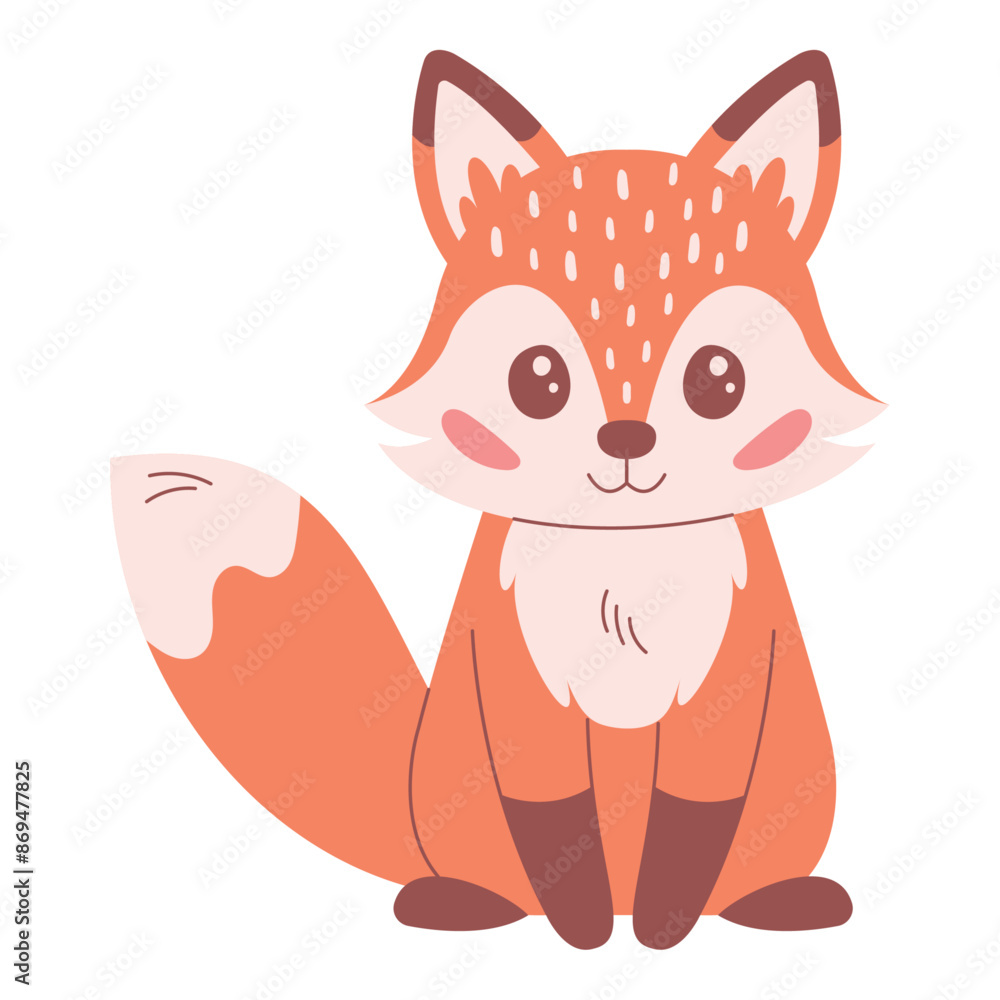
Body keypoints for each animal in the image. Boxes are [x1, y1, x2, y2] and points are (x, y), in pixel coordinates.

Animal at [111, 50, 884, 950]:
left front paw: (660, 929)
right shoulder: (518, 688)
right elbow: (553, 820)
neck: (623, 558)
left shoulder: (729, 689)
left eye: (717, 378)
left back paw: (779, 902)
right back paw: (466, 903)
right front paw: (585, 929)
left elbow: (693, 821)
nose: (626, 439)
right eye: (537, 378)